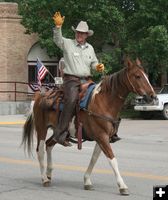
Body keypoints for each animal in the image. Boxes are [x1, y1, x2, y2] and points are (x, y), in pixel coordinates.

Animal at [21, 57, 156, 195]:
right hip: (41, 128)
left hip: (58, 132)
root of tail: (39, 96)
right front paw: (122, 186)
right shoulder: (102, 137)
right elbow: (112, 160)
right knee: (40, 150)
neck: (104, 102)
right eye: (137, 76)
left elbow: (94, 159)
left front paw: (87, 181)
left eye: (146, 75)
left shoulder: (103, 138)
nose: (153, 96)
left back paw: (48, 174)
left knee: (49, 145)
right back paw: (44, 179)